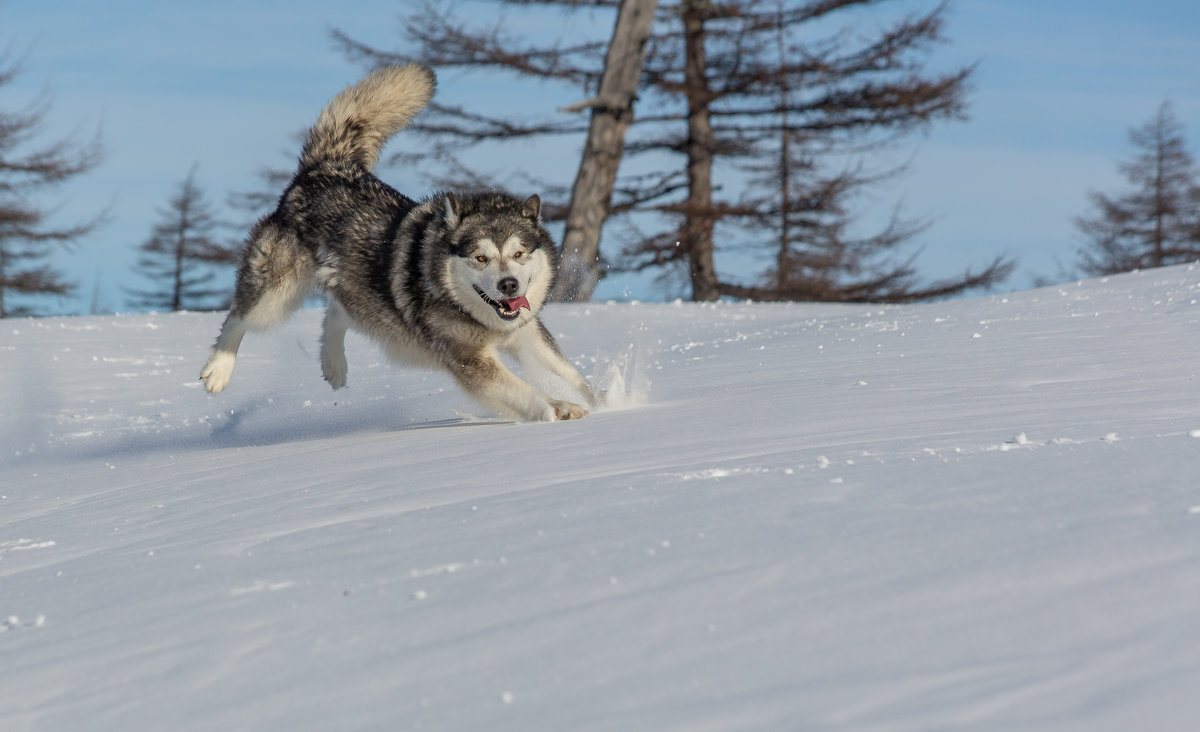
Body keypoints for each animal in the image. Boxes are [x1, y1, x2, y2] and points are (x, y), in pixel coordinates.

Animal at [200, 64, 595, 420]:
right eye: (480, 258)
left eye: (519, 253)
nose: (509, 285)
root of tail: (328, 166)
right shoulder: (470, 360)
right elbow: (526, 393)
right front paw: (555, 410)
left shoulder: (526, 331)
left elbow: (570, 373)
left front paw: (597, 401)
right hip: (276, 294)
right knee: (237, 316)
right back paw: (218, 372)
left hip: (355, 292)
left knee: (336, 312)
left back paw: (334, 366)